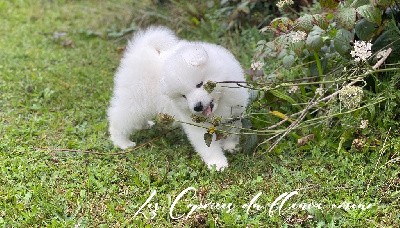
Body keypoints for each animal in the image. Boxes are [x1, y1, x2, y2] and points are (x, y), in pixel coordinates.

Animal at [108, 25, 248, 170]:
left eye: (199, 84)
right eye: (183, 96)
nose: (197, 107)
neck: (219, 104)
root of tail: (142, 49)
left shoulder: (235, 112)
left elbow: (233, 131)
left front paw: (230, 146)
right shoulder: (197, 125)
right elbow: (208, 147)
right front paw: (217, 163)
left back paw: (144, 125)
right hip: (135, 99)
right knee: (119, 118)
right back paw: (122, 142)